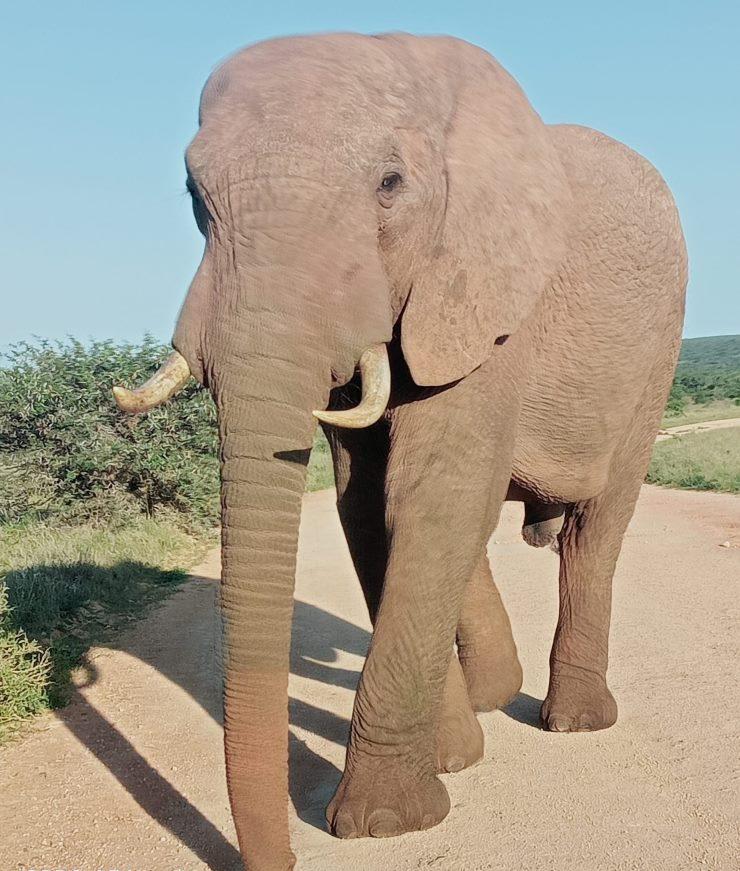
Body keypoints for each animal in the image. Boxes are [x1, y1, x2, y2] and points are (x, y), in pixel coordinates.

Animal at [113, 33, 687, 871]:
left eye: (390, 185)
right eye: (193, 193)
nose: (283, 859)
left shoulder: (488, 298)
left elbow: (430, 494)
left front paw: (385, 821)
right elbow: (366, 502)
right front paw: (452, 761)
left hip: (656, 356)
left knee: (597, 527)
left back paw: (574, 720)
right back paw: (489, 700)